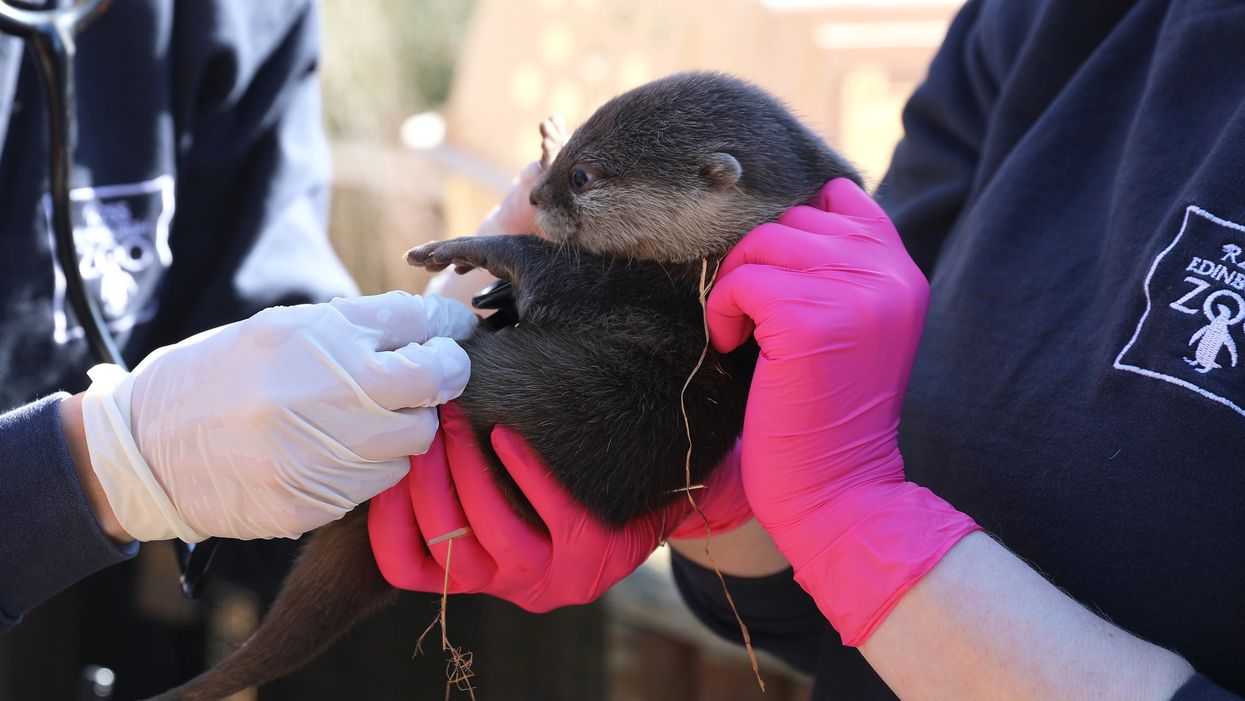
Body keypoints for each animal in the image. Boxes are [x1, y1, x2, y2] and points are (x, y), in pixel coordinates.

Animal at [147, 71, 861, 701]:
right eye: (568, 158)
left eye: (582, 176)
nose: (537, 194)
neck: (702, 265)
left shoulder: (639, 290)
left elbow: (545, 269)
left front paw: (468, 248)